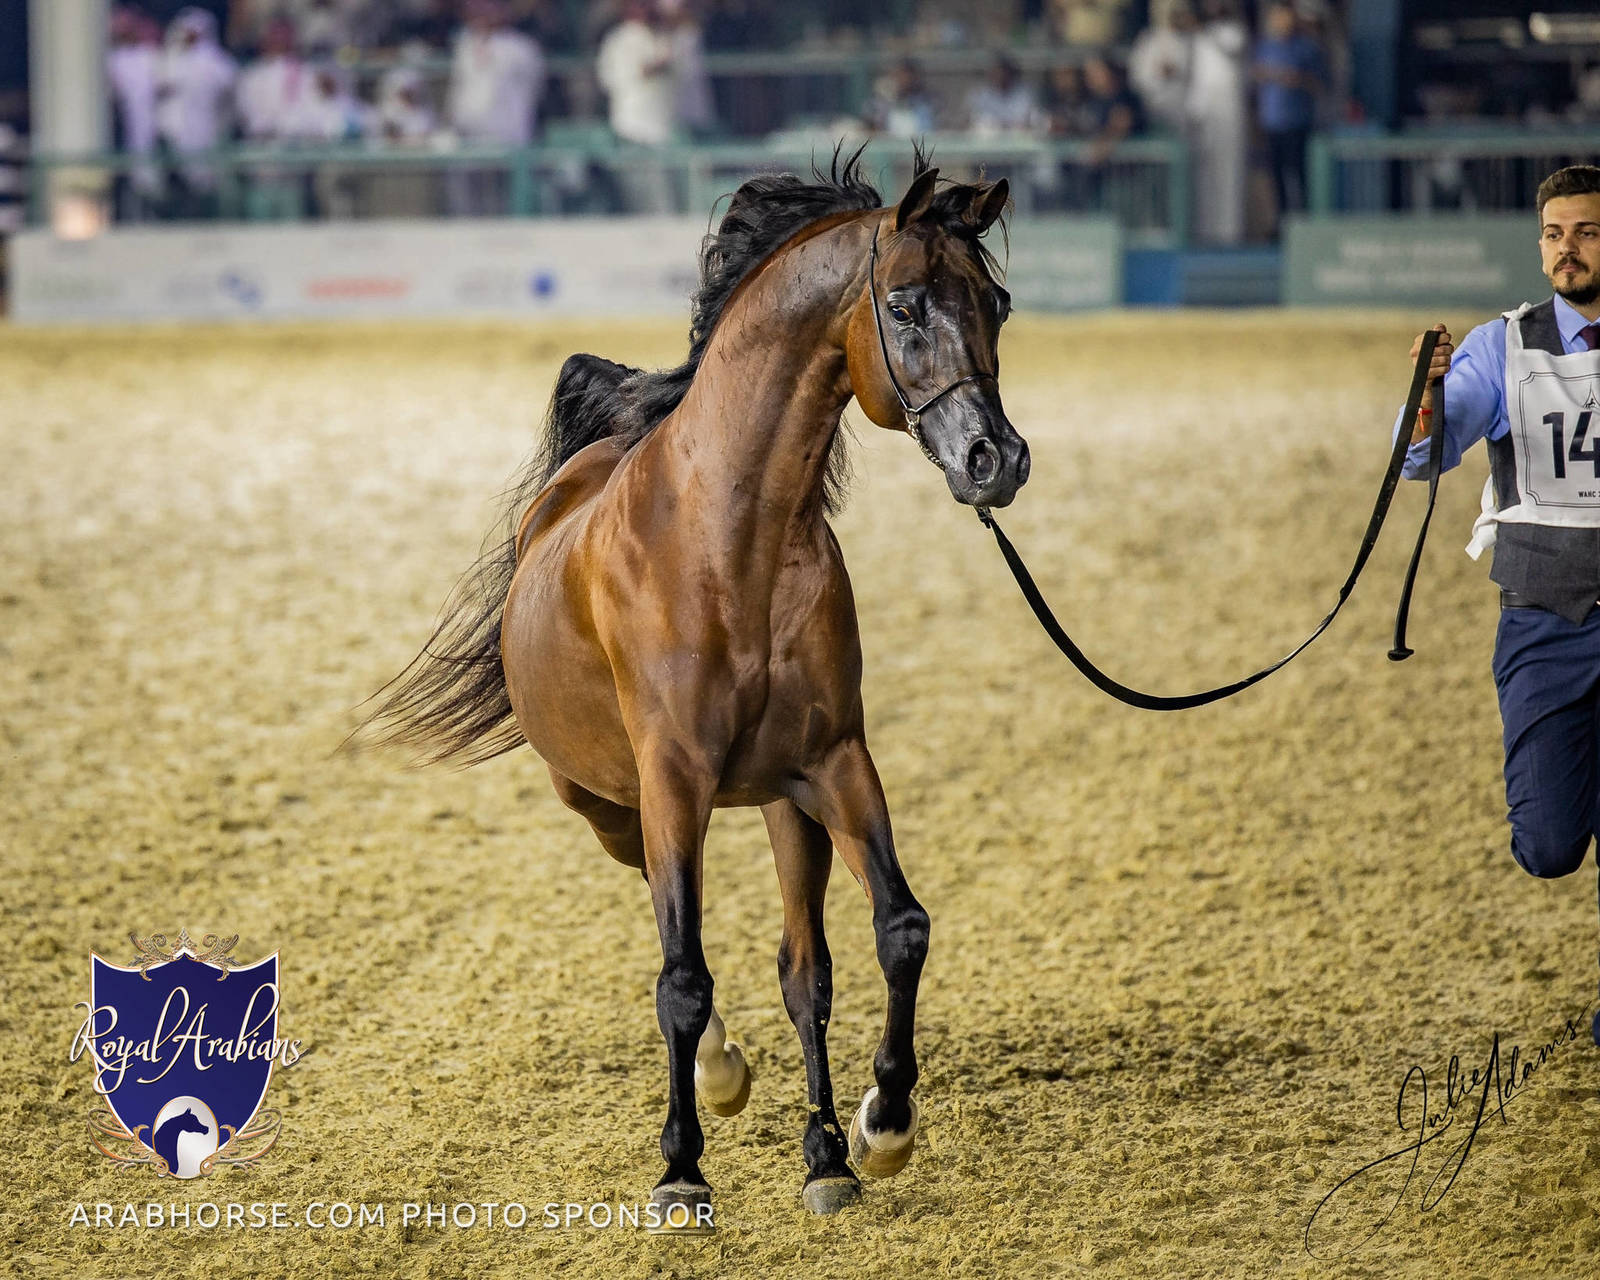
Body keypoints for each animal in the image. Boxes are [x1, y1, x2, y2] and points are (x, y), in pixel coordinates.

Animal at [363, 149, 1029, 1218]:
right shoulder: (674, 783)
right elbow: (682, 978)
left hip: (780, 806)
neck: (730, 542)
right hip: (610, 808)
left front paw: (878, 1127)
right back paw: (719, 1077)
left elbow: (898, 930)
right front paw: (682, 1171)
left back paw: (824, 1152)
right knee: (672, 935)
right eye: (906, 303)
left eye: (997, 302)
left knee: (804, 968)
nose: (994, 460)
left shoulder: (836, 765)